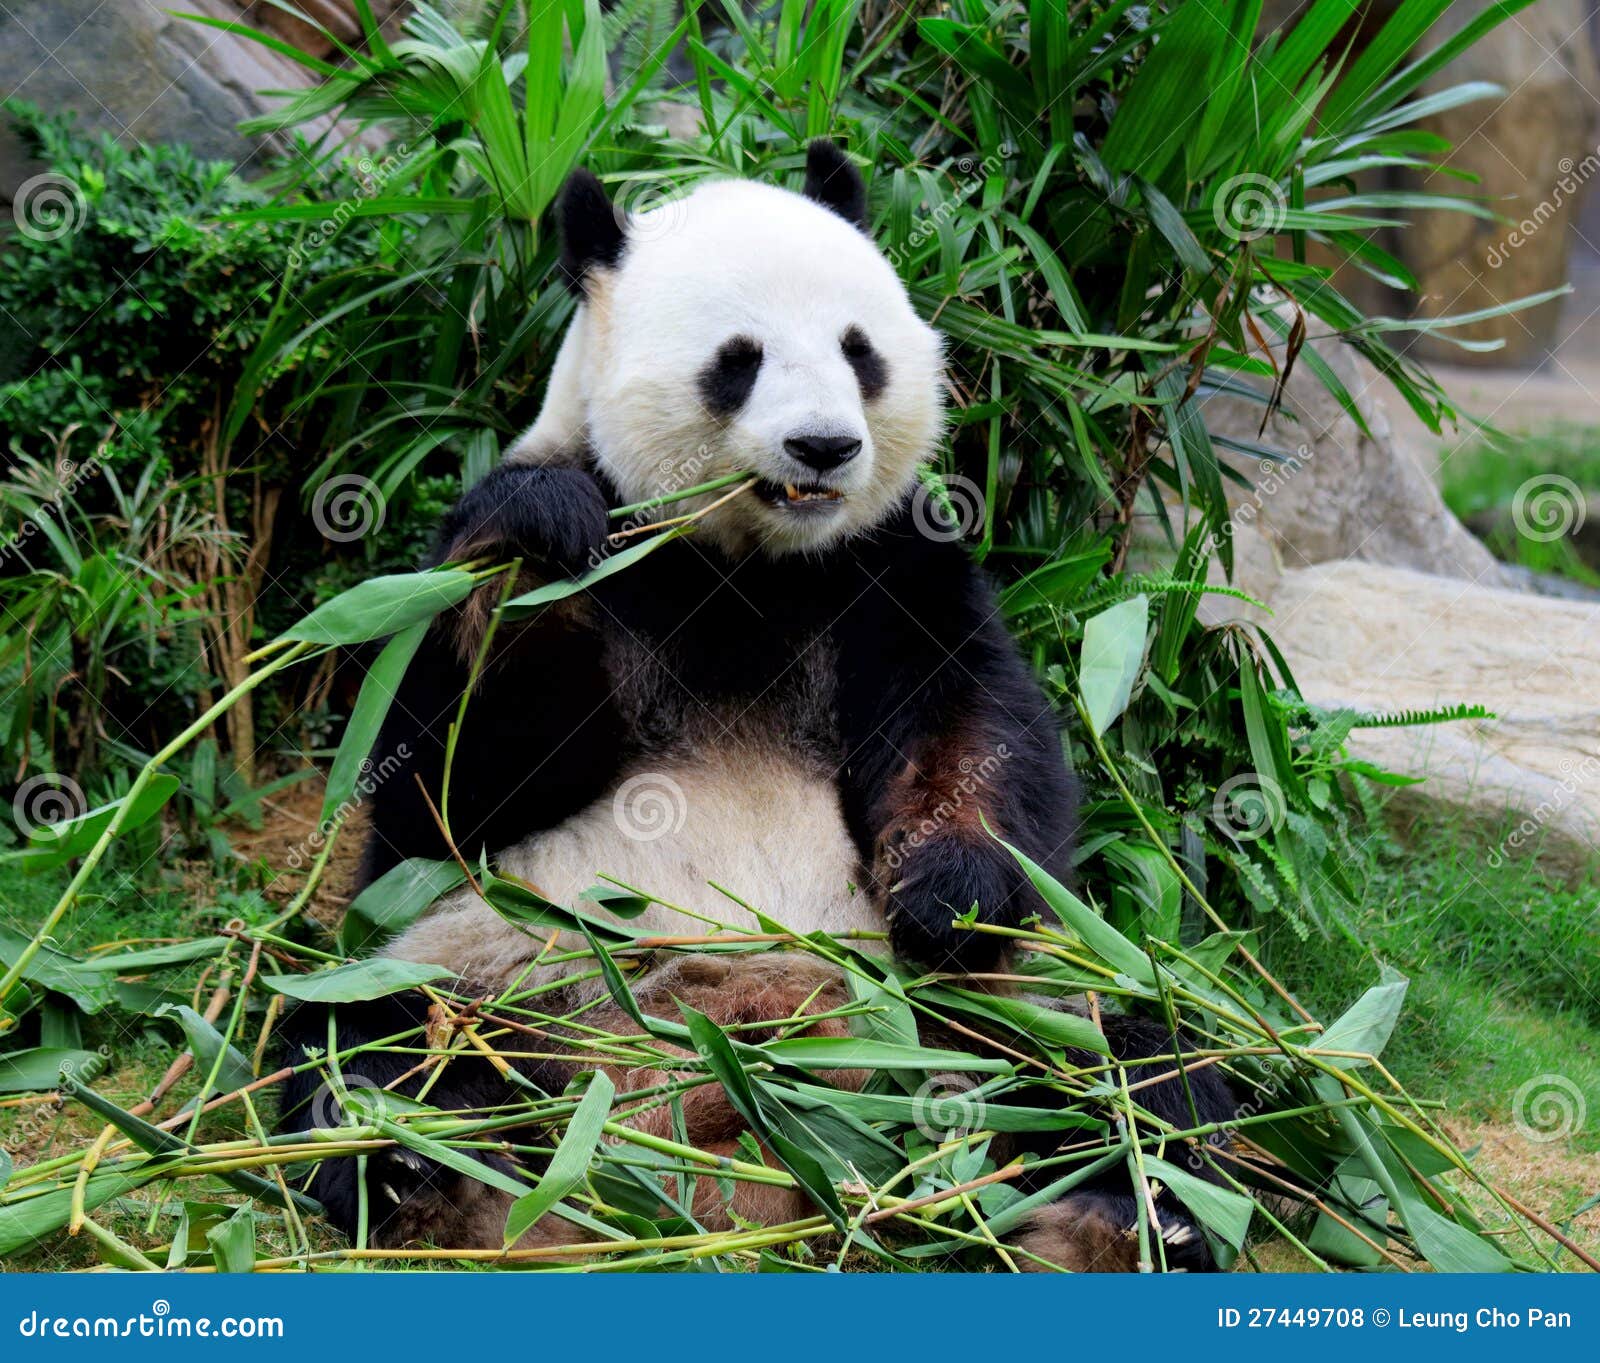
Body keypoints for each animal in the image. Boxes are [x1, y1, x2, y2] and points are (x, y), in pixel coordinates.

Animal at [284, 143, 1235, 1273]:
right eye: (737, 359)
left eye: (859, 351)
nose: (824, 447)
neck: (747, 564)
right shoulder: (581, 550)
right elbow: (452, 776)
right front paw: (539, 537)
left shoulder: (889, 563)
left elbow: (971, 725)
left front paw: (944, 886)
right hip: (503, 965)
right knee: (365, 1049)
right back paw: (418, 1169)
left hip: (997, 1013)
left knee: (1139, 1063)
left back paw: (1132, 1213)